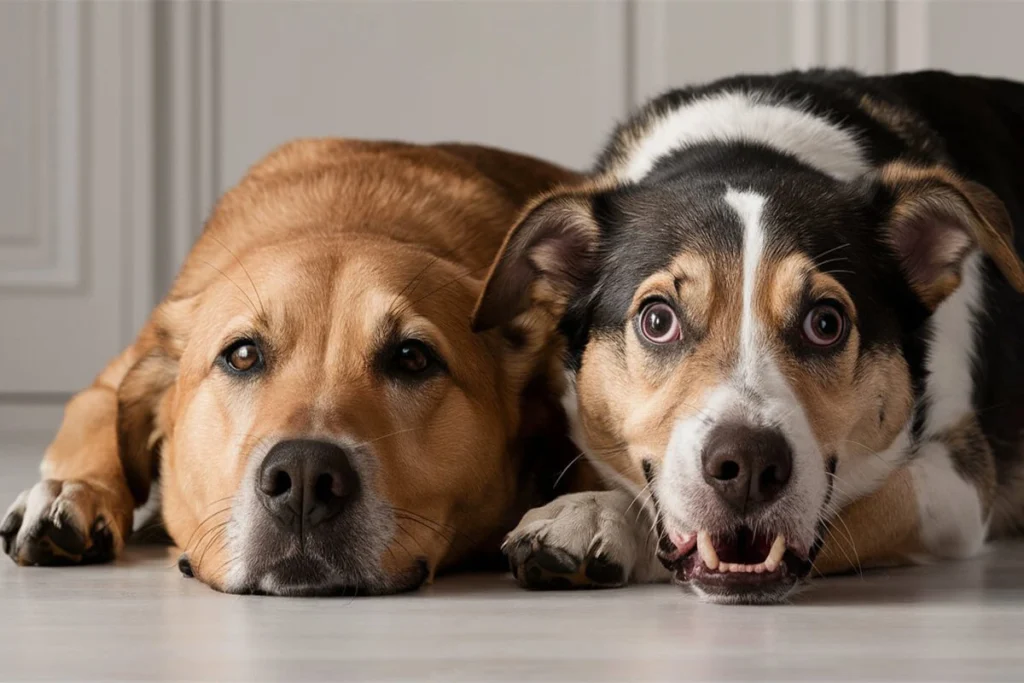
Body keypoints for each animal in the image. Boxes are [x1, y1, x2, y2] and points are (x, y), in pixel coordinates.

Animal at [0, 140, 589, 598]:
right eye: (241, 355)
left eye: (412, 358)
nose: (305, 478)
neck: (346, 214)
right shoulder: (106, 386)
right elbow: (100, 421)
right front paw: (72, 490)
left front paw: (581, 516)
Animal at [471, 69, 1024, 602]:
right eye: (657, 321)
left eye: (826, 323)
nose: (749, 464)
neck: (743, 149)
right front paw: (591, 509)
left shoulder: (957, 482)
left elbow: (868, 503)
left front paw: (610, 521)